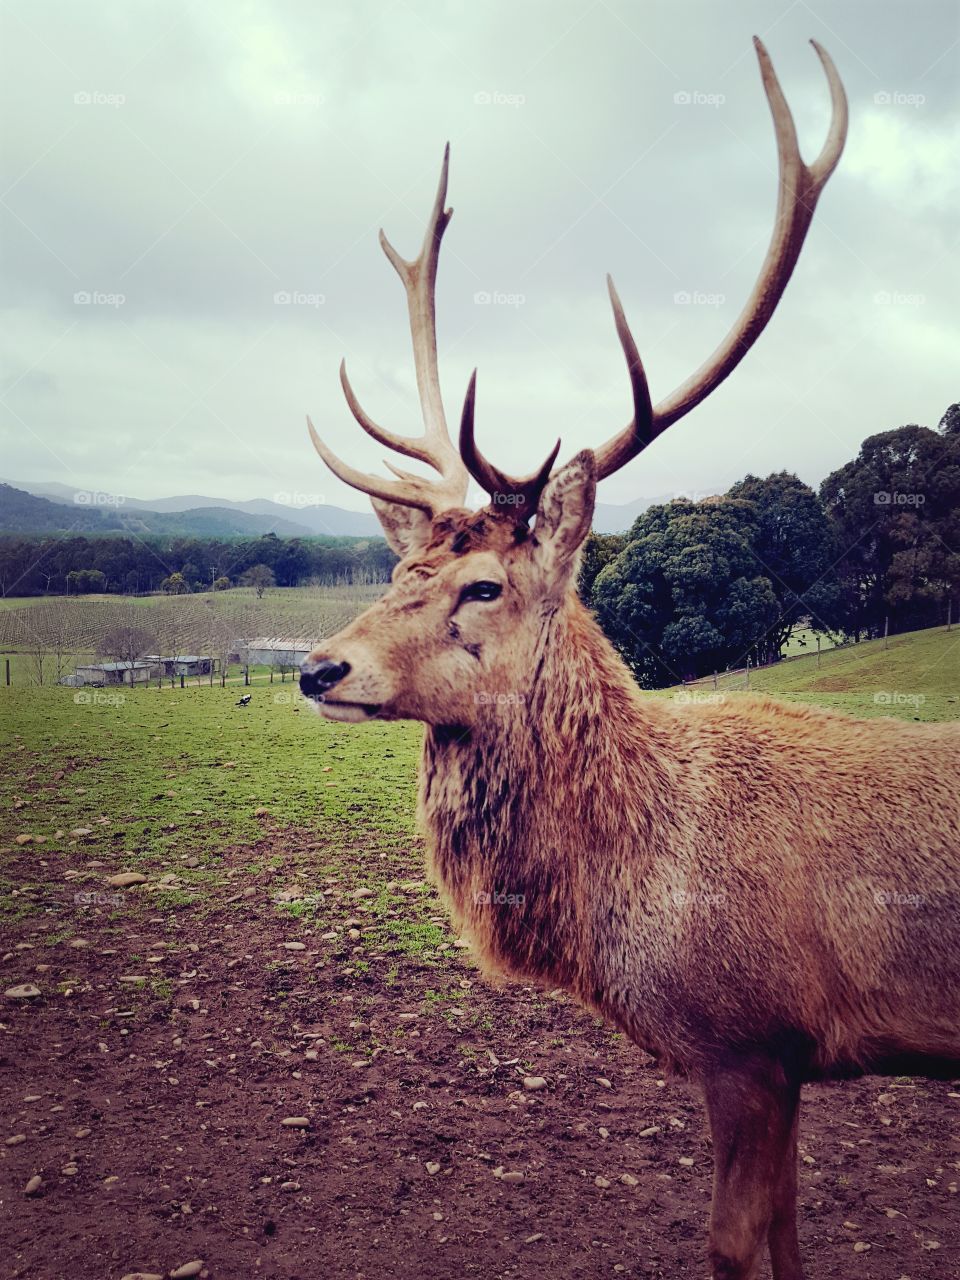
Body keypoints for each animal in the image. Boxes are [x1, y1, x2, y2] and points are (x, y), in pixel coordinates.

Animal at [298, 39, 960, 1280]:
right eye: (402, 569)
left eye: (482, 585)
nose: (318, 669)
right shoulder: (792, 1060)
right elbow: (790, 1232)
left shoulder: (750, 1038)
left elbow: (737, 1242)